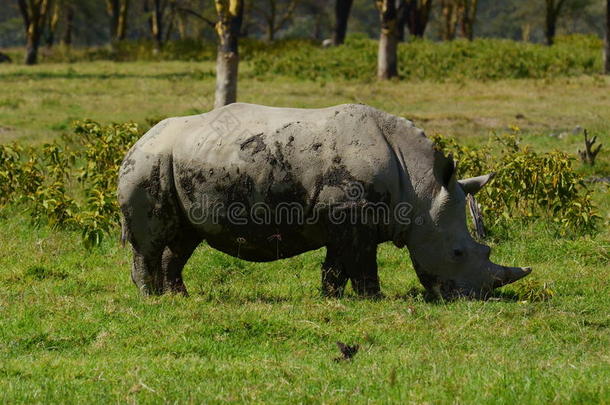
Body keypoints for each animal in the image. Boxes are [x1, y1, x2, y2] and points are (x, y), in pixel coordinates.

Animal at [117, 103, 528, 300]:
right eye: (458, 253)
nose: (473, 297)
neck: (421, 187)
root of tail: (138, 140)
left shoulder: (348, 221)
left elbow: (337, 265)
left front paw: (332, 297)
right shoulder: (352, 217)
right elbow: (361, 265)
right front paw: (374, 299)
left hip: (177, 162)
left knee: (185, 238)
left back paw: (180, 297)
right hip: (150, 162)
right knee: (150, 242)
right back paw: (151, 299)